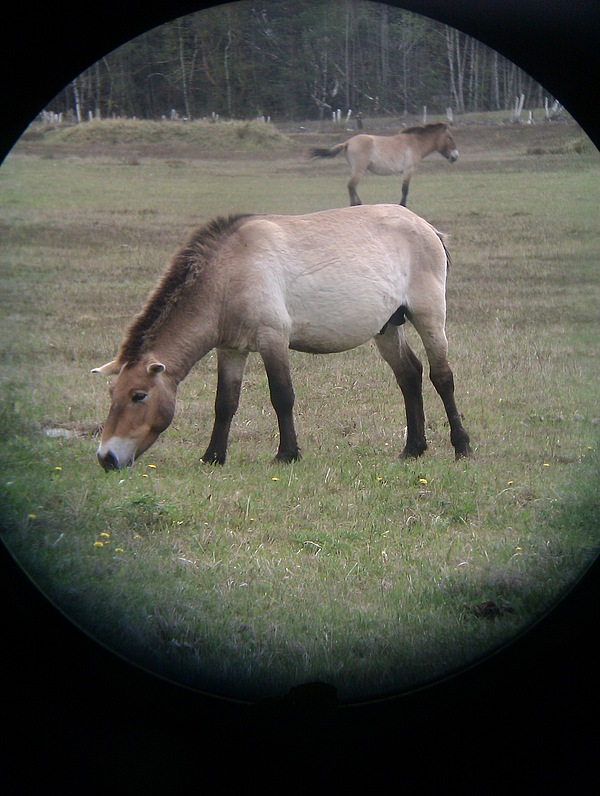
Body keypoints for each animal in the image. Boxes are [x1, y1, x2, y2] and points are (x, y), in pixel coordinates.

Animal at [92, 204, 468, 472]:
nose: (106, 458)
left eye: (139, 395)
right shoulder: (231, 350)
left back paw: (461, 446)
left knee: (441, 377)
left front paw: (287, 454)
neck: (229, 274)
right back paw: (413, 448)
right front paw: (213, 456)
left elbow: (282, 396)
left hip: (429, 317)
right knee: (409, 375)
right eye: (112, 394)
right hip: (388, 328)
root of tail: (427, 227)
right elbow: (225, 403)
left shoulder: (272, 340)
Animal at [310, 121, 460, 207]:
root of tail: (348, 142)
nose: (455, 156)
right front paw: (402, 206)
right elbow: (405, 190)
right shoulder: (408, 171)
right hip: (359, 170)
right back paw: (356, 205)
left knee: (351, 186)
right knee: (351, 185)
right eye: (449, 138)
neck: (414, 143)